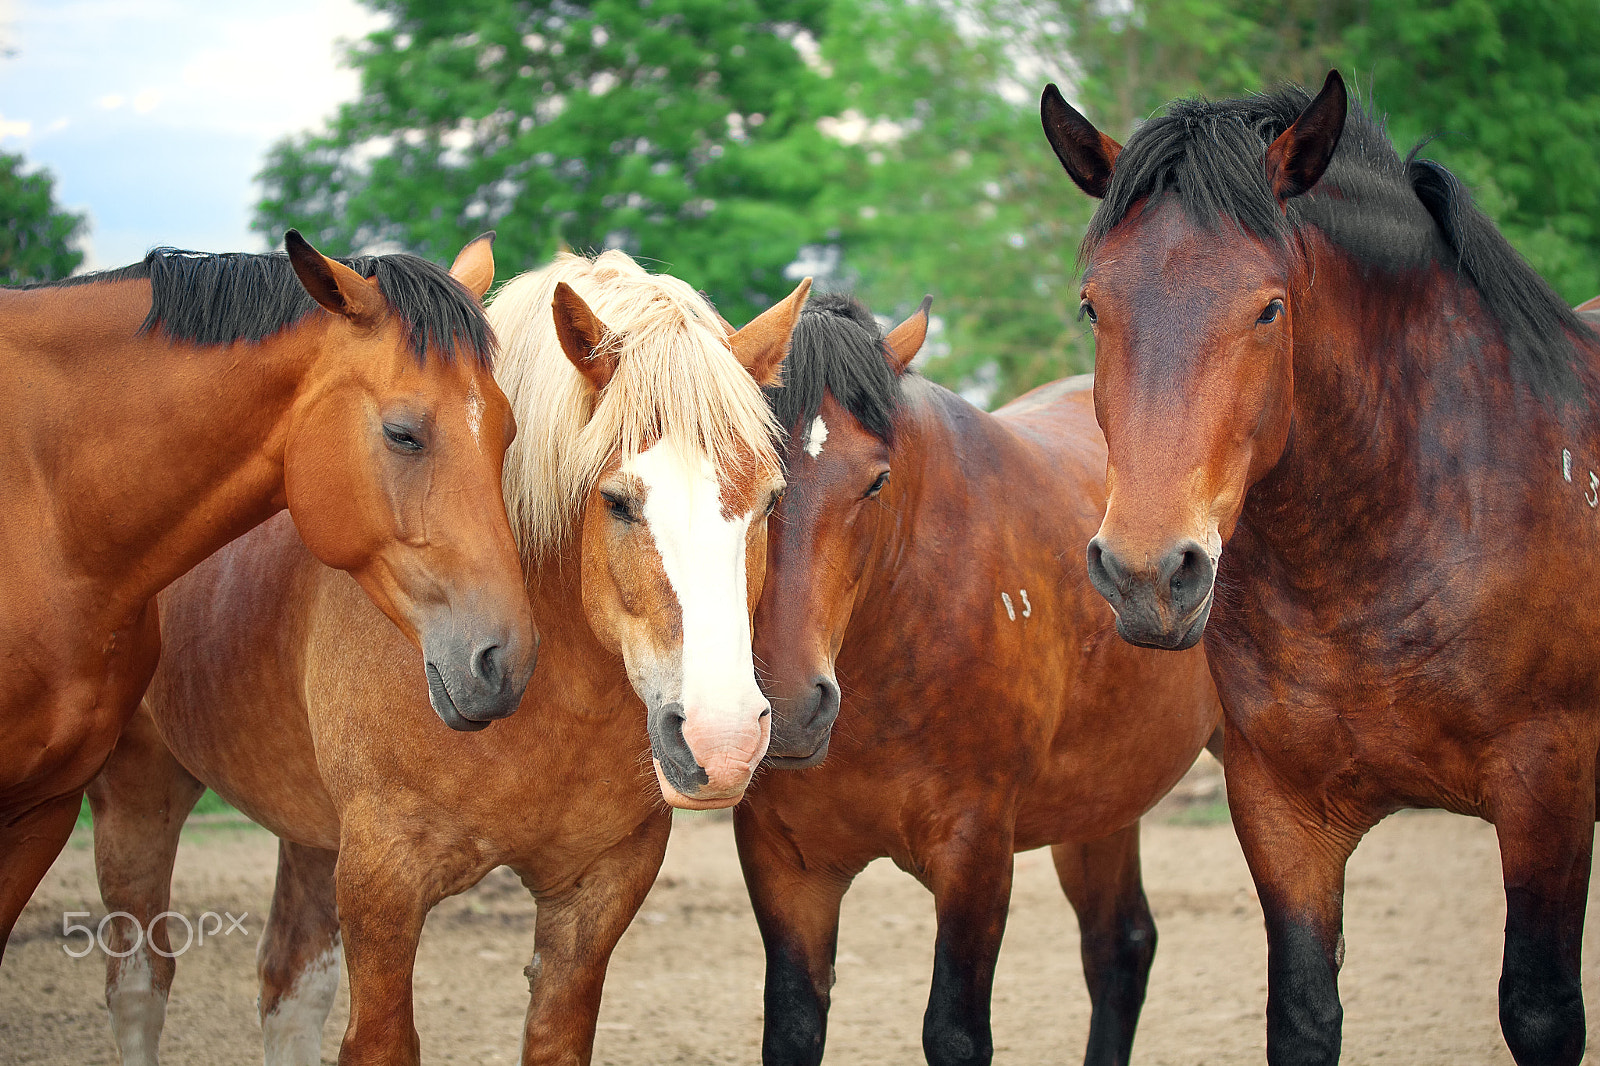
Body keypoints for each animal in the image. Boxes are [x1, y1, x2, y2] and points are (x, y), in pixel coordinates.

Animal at [87, 250, 810, 1065]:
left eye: (769, 501)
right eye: (618, 502)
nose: (722, 741)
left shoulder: (596, 892)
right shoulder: (383, 884)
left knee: (287, 989)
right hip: (137, 792)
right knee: (140, 985)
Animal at [736, 292, 1220, 1066]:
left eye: (877, 480)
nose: (787, 710)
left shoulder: (976, 855)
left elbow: (956, 1034)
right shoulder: (786, 866)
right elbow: (792, 1029)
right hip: (1101, 803)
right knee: (1119, 948)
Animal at [1042, 70, 1600, 1065]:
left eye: (1270, 307)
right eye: (1093, 307)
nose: (1149, 575)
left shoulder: (1550, 792)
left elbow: (1540, 1011)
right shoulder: (1282, 812)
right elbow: (1303, 1017)